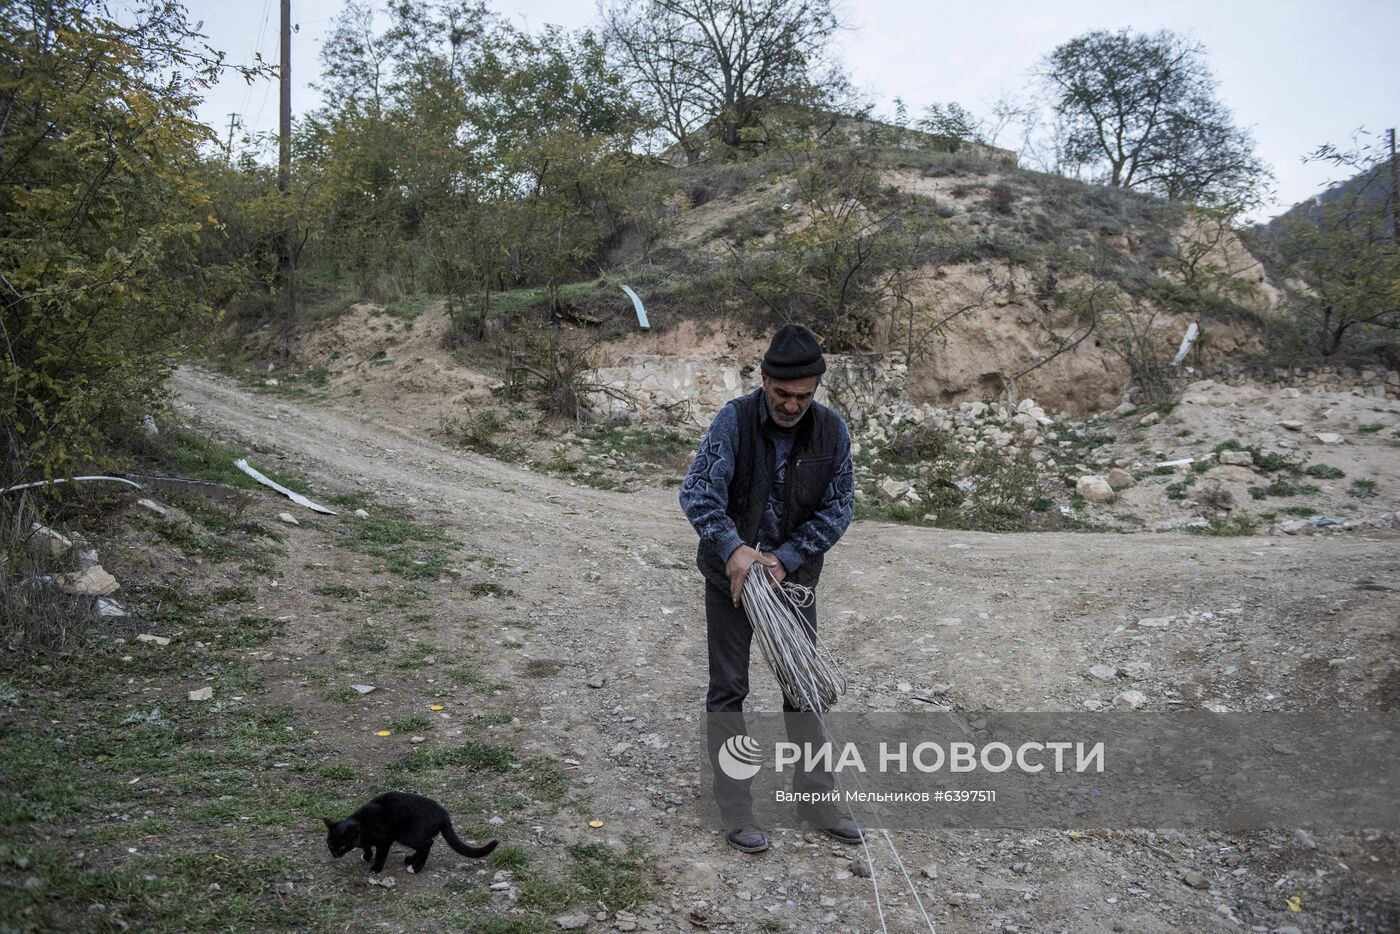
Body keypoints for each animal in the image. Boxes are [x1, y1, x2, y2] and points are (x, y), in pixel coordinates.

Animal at [322, 795, 498, 873]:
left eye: (342, 845)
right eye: (330, 844)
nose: (334, 854)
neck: (361, 824)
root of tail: (444, 814)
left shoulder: (385, 840)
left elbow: (380, 855)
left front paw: (376, 867)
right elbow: (366, 847)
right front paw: (366, 856)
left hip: (407, 835)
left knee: (427, 844)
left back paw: (416, 867)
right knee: (425, 845)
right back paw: (411, 860)